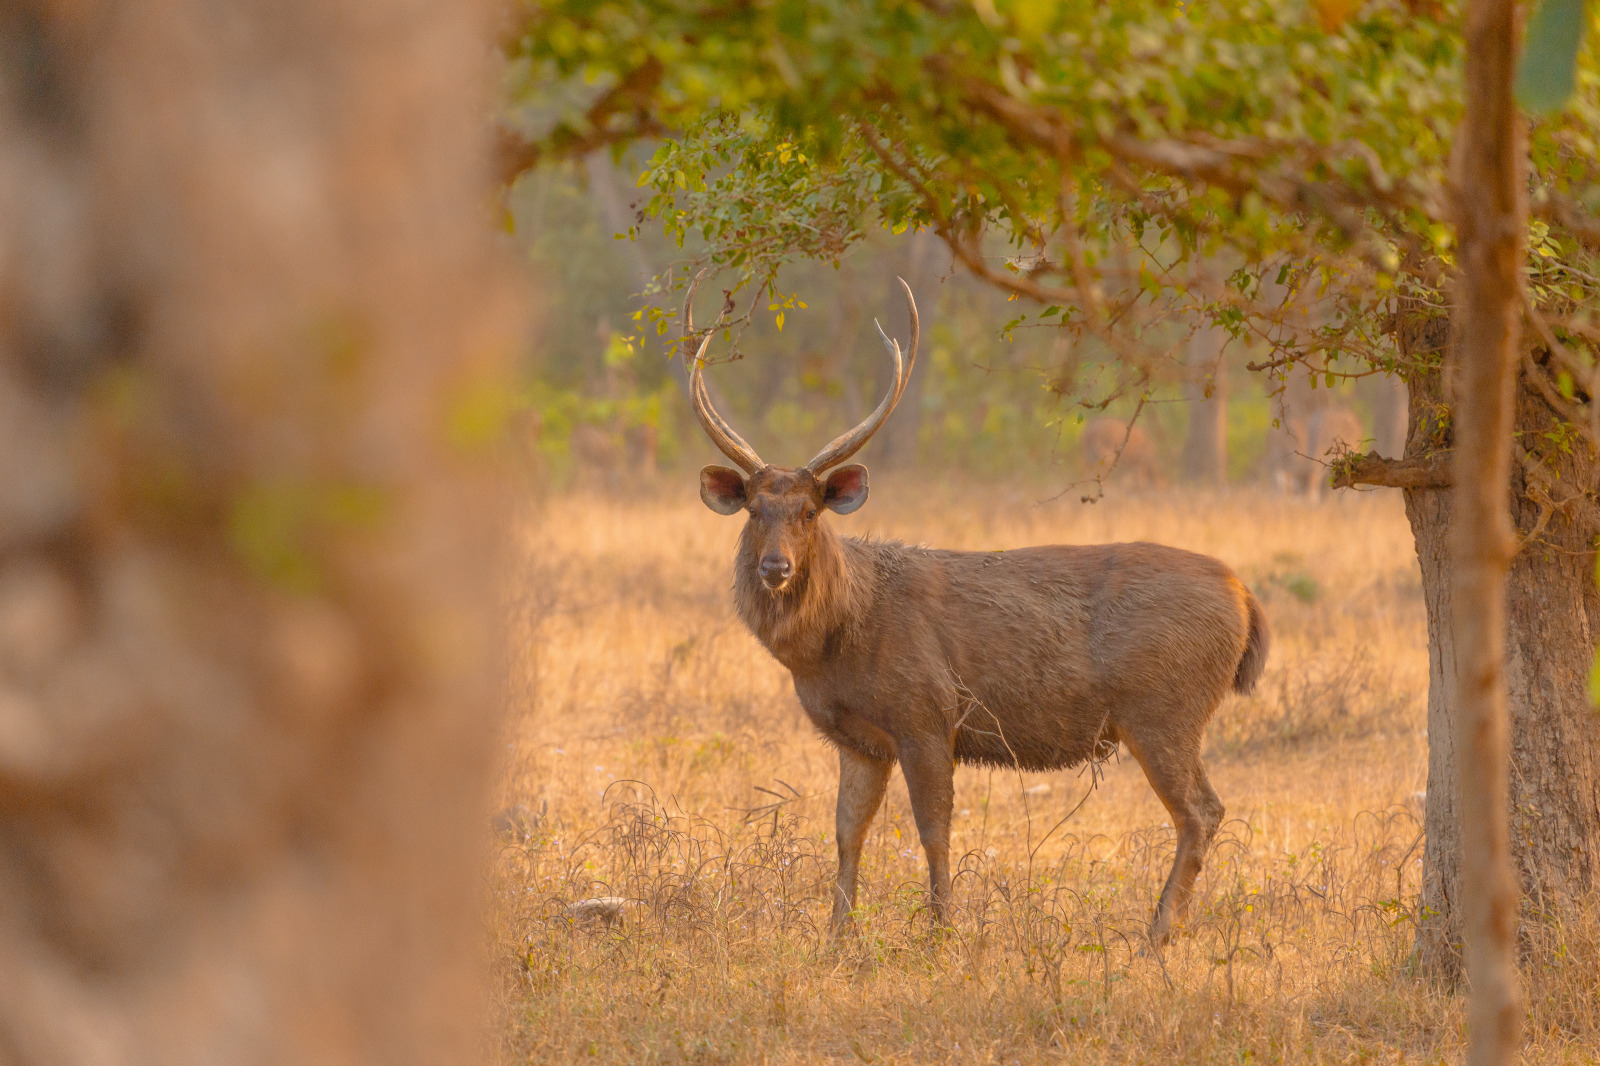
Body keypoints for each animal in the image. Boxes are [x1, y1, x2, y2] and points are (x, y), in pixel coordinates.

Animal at [681, 275, 1267, 941]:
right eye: (755, 510)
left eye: (810, 511)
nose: (774, 567)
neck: (838, 641)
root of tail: (1245, 597)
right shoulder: (861, 740)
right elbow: (847, 833)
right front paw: (836, 938)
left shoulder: (927, 713)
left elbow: (933, 831)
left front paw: (939, 934)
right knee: (1207, 809)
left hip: (1165, 708)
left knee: (1200, 811)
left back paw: (1156, 936)